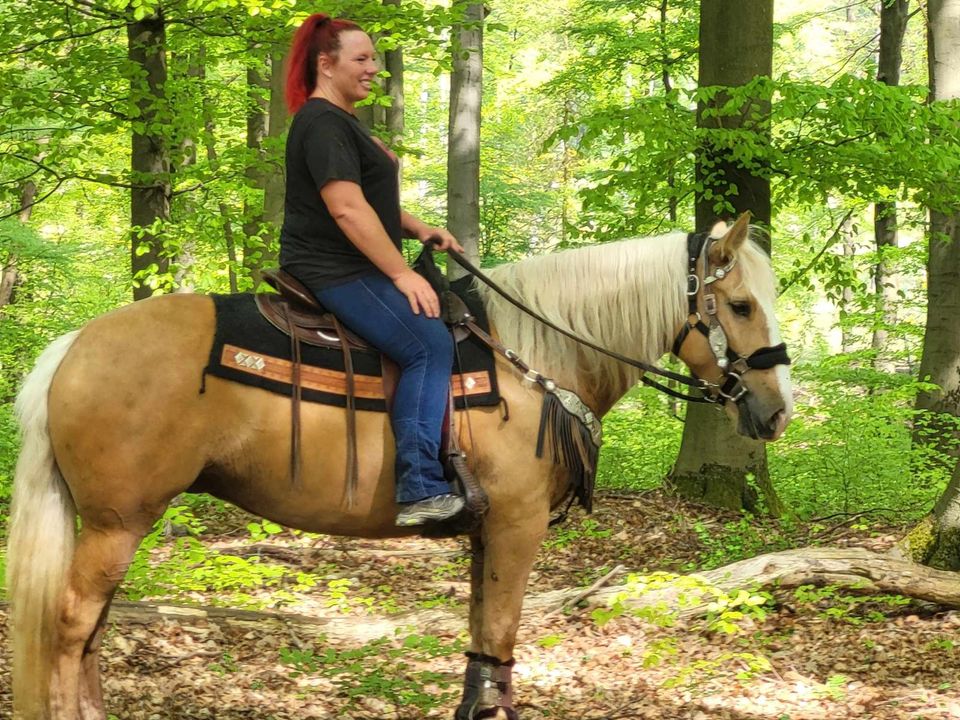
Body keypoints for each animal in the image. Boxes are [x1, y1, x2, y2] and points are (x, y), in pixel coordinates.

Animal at [9, 215, 796, 720]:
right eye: (739, 304)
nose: (776, 411)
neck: (532, 357)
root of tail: (74, 346)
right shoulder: (517, 526)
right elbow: (500, 645)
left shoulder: (487, 534)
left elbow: (481, 652)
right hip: (116, 524)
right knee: (71, 627)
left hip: (117, 522)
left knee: (91, 634)